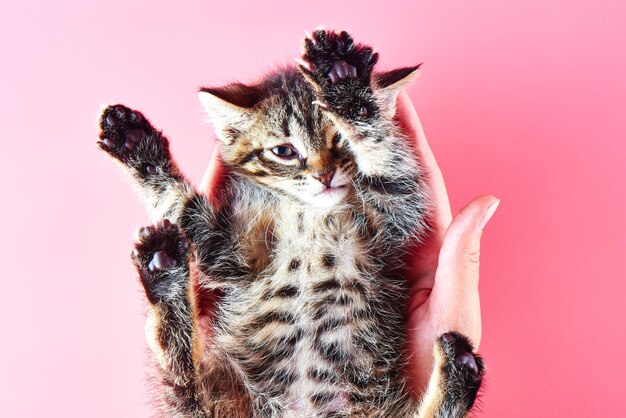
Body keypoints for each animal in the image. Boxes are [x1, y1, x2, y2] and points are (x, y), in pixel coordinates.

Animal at [97, 27, 482, 416]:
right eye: (284, 151)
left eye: (341, 139)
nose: (324, 176)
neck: (312, 214)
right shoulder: (229, 251)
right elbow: (185, 209)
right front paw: (139, 149)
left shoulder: (397, 211)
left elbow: (387, 160)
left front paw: (345, 85)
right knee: (184, 380)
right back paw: (164, 271)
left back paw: (458, 373)